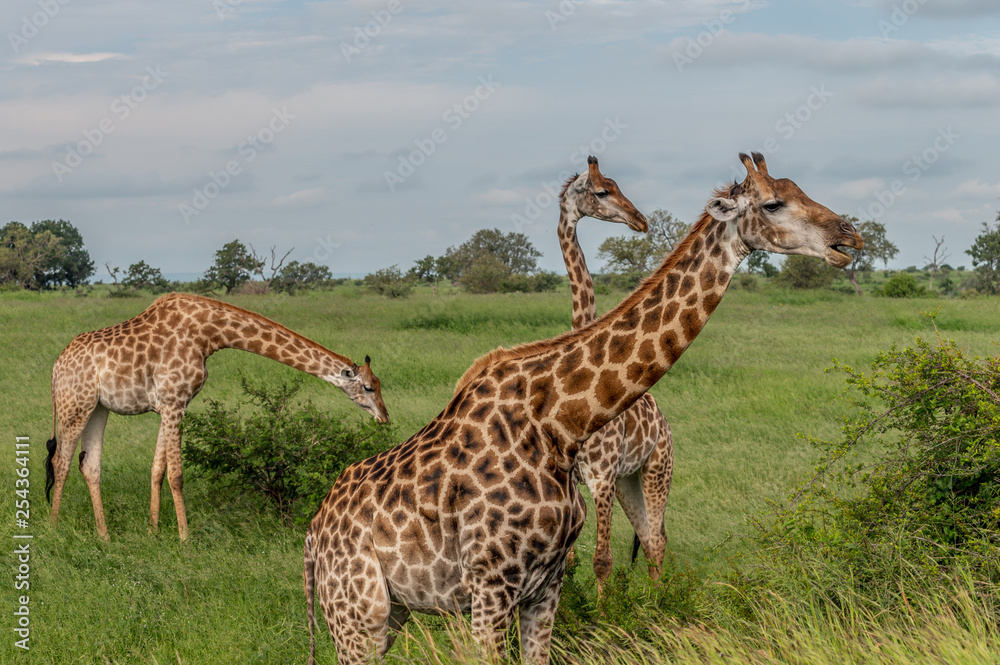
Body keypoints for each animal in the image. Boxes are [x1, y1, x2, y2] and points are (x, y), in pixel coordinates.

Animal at [46, 292, 389, 541]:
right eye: (369, 387)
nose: (385, 417)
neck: (209, 334)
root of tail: (56, 368)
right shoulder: (174, 402)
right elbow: (176, 474)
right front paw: (185, 538)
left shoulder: (170, 405)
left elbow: (157, 469)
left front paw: (152, 530)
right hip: (73, 404)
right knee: (60, 461)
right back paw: (54, 529)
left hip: (97, 407)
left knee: (89, 466)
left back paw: (104, 536)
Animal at [555, 156, 675, 587]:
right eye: (602, 191)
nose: (640, 220)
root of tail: (664, 421)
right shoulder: (575, 478)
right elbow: (570, 560)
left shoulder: (602, 474)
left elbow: (602, 560)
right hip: (628, 481)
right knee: (650, 537)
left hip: (657, 469)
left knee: (657, 539)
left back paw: (660, 598)